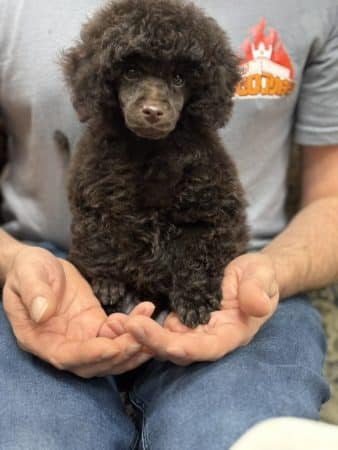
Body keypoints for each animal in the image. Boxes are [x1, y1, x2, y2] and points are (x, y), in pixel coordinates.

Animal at [62, 0, 248, 326]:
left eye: (179, 78)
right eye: (131, 72)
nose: (152, 111)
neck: (150, 150)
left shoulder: (210, 208)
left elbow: (197, 252)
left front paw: (195, 298)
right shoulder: (94, 197)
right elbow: (100, 241)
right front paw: (107, 283)